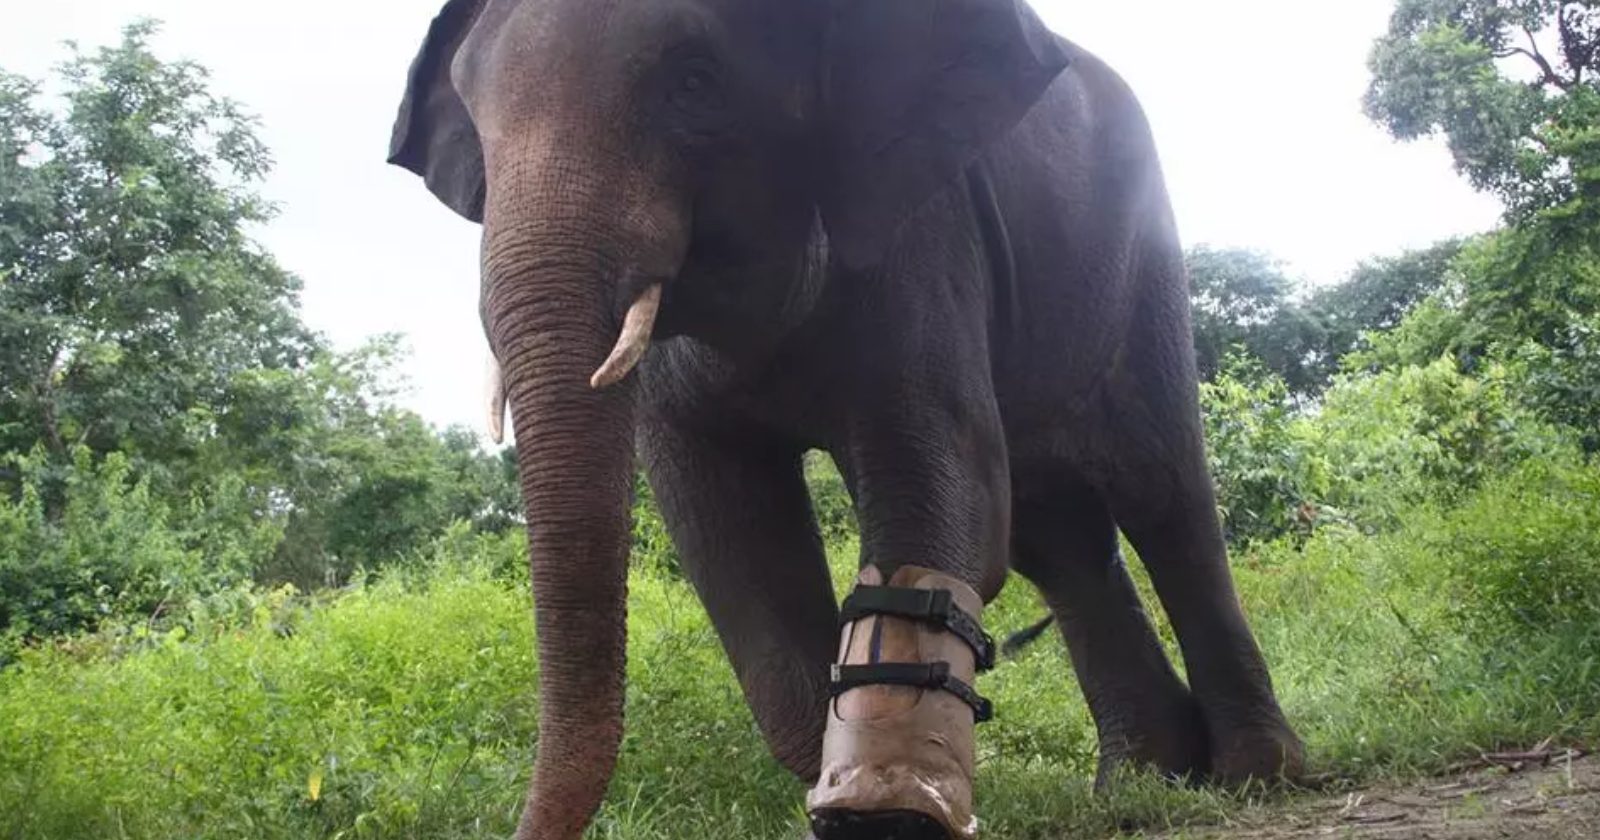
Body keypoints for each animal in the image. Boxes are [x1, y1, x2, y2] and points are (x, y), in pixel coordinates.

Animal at [384, 0, 1299, 832]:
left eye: (694, 83)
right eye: (477, 123)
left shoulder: (923, 232)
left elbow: (943, 494)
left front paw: (887, 809)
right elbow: (732, 535)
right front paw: (833, 792)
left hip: (1141, 263)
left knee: (1163, 495)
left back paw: (1258, 777)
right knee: (1058, 538)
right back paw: (1144, 785)